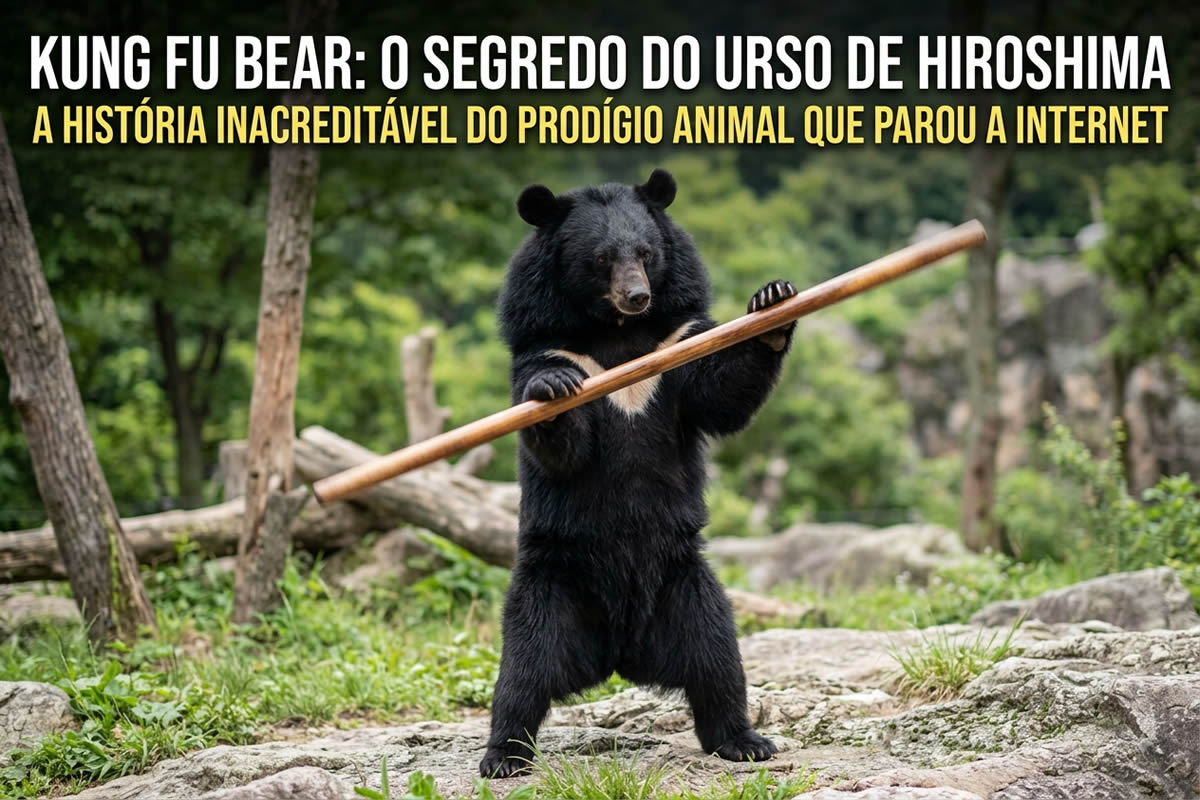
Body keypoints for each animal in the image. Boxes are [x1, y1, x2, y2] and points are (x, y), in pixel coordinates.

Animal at [480, 168, 797, 778]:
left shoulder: (677, 340)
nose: (638, 296)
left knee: (719, 661)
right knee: (523, 671)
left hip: (688, 586)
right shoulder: (549, 345)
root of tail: (620, 652)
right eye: (602, 258)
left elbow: (720, 392)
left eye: (647, 254)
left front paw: (772, 303)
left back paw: (744, 741)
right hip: (550, 585)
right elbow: (565, 444)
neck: (615, 334)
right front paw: (553, 391)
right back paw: (503, 756)